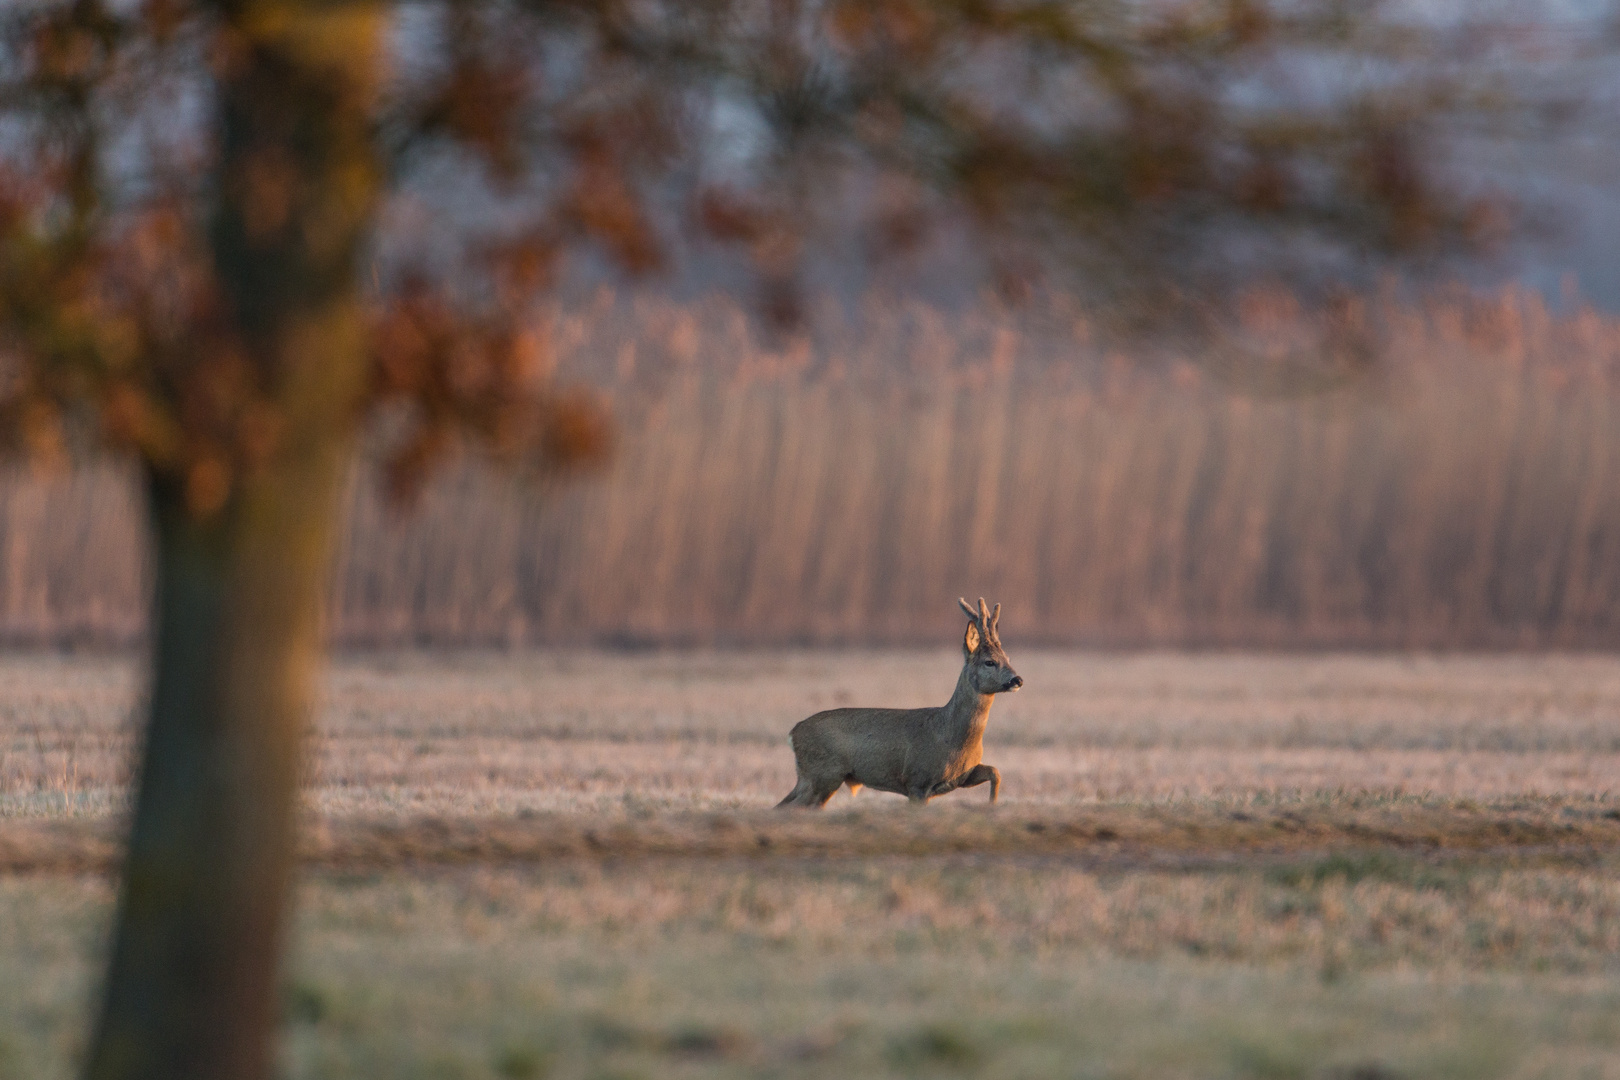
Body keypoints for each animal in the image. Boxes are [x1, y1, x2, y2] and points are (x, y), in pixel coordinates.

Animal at [774, 599, 1023, 809]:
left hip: (815, 778)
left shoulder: (962, 776)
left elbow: (995, 772)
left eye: (1008, 658)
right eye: (989, 662)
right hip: (822, 774)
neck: (950, 736)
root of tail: (793, 733)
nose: (1017, 680)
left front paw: (992, 806)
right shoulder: (917, 780)